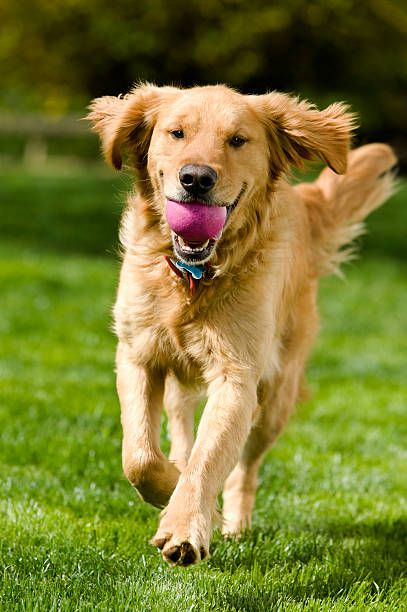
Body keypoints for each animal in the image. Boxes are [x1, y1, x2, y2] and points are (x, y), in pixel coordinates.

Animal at [87, 83, 396, 568]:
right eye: (176, 133)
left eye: (237, 140)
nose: (196, 178)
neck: (195, 277)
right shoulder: (138, 354)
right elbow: (139, 456)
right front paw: (171, 492)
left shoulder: (237, 375)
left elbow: (209, 460)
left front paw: (186, 526)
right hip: (182, 389)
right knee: (181, 435)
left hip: (275, 397)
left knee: (244, 468)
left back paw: (232, 522)